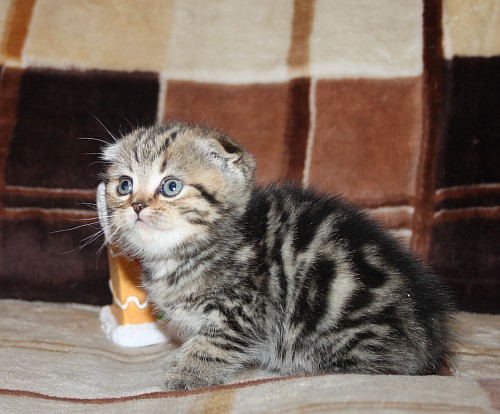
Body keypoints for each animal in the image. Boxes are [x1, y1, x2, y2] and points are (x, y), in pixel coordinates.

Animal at [96, 121, 455, 390]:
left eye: (171, 187)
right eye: (125, 185)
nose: (136, 205)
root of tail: (432, 338)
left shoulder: (243, 310)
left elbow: (211, 346)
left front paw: (186, 375)